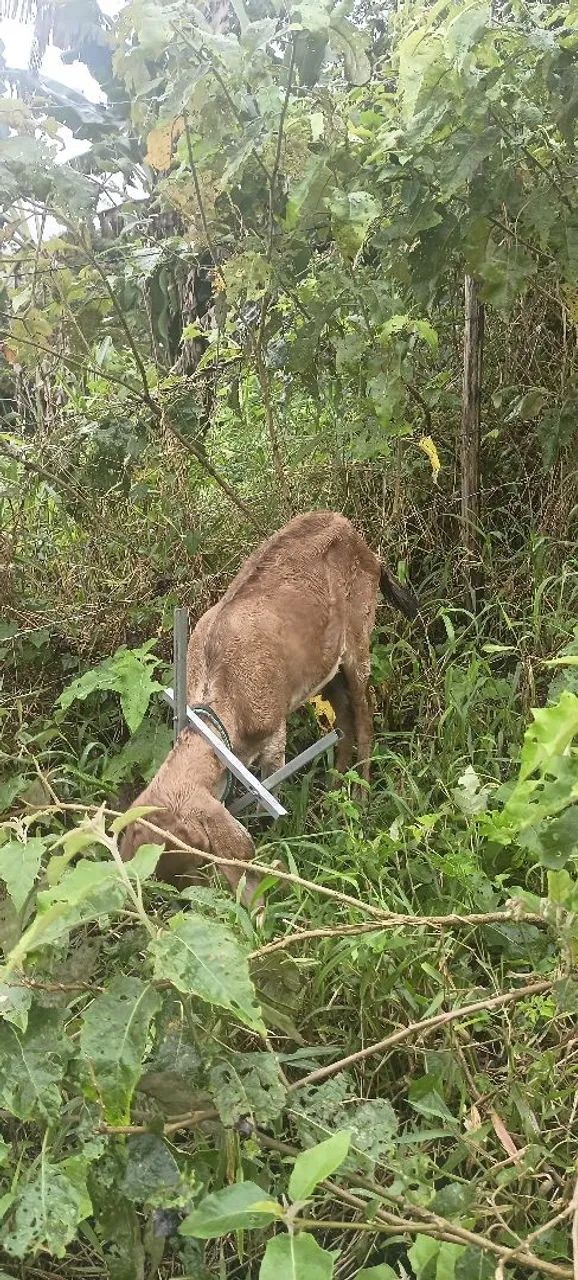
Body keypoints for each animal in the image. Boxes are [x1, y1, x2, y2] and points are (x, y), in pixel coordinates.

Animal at [120, 511, 418, 900]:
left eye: (196, 853)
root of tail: (356, 535)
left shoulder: (273, 728)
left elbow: (269, 795)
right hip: (328, 669)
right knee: (345, 725)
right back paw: (334, 797)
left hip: (358, 642)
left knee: (365, 724)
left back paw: (361, 798)